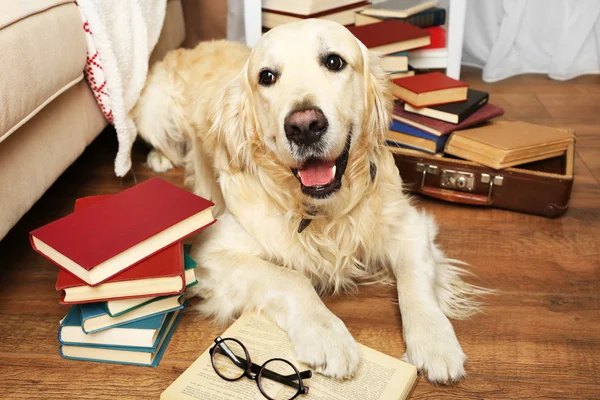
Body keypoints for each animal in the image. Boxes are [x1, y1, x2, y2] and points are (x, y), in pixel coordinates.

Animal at [134, 18, 486, 384]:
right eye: (266, 76)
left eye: (334, 61)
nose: (304, 126)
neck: (322, 210)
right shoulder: (208, 253)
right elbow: (290, 278)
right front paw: (327, 335)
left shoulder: (410, 226)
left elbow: (415, 279)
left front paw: (435, 341)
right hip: (153, 115)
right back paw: (161, 157)